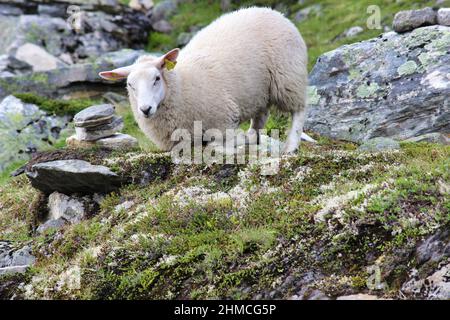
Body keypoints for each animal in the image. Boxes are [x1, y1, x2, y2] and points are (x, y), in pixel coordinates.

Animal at [100, 6, 314, 154]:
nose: (145, 109)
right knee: (259, 119)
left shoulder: (223, 120)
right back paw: (250, 138)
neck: (181, 85)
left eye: (157, 78)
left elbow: (221, 143)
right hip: (258, 91)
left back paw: (291, 146)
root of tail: (273, 12)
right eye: (130, 85)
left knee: (299, 109)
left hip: (288, 77)